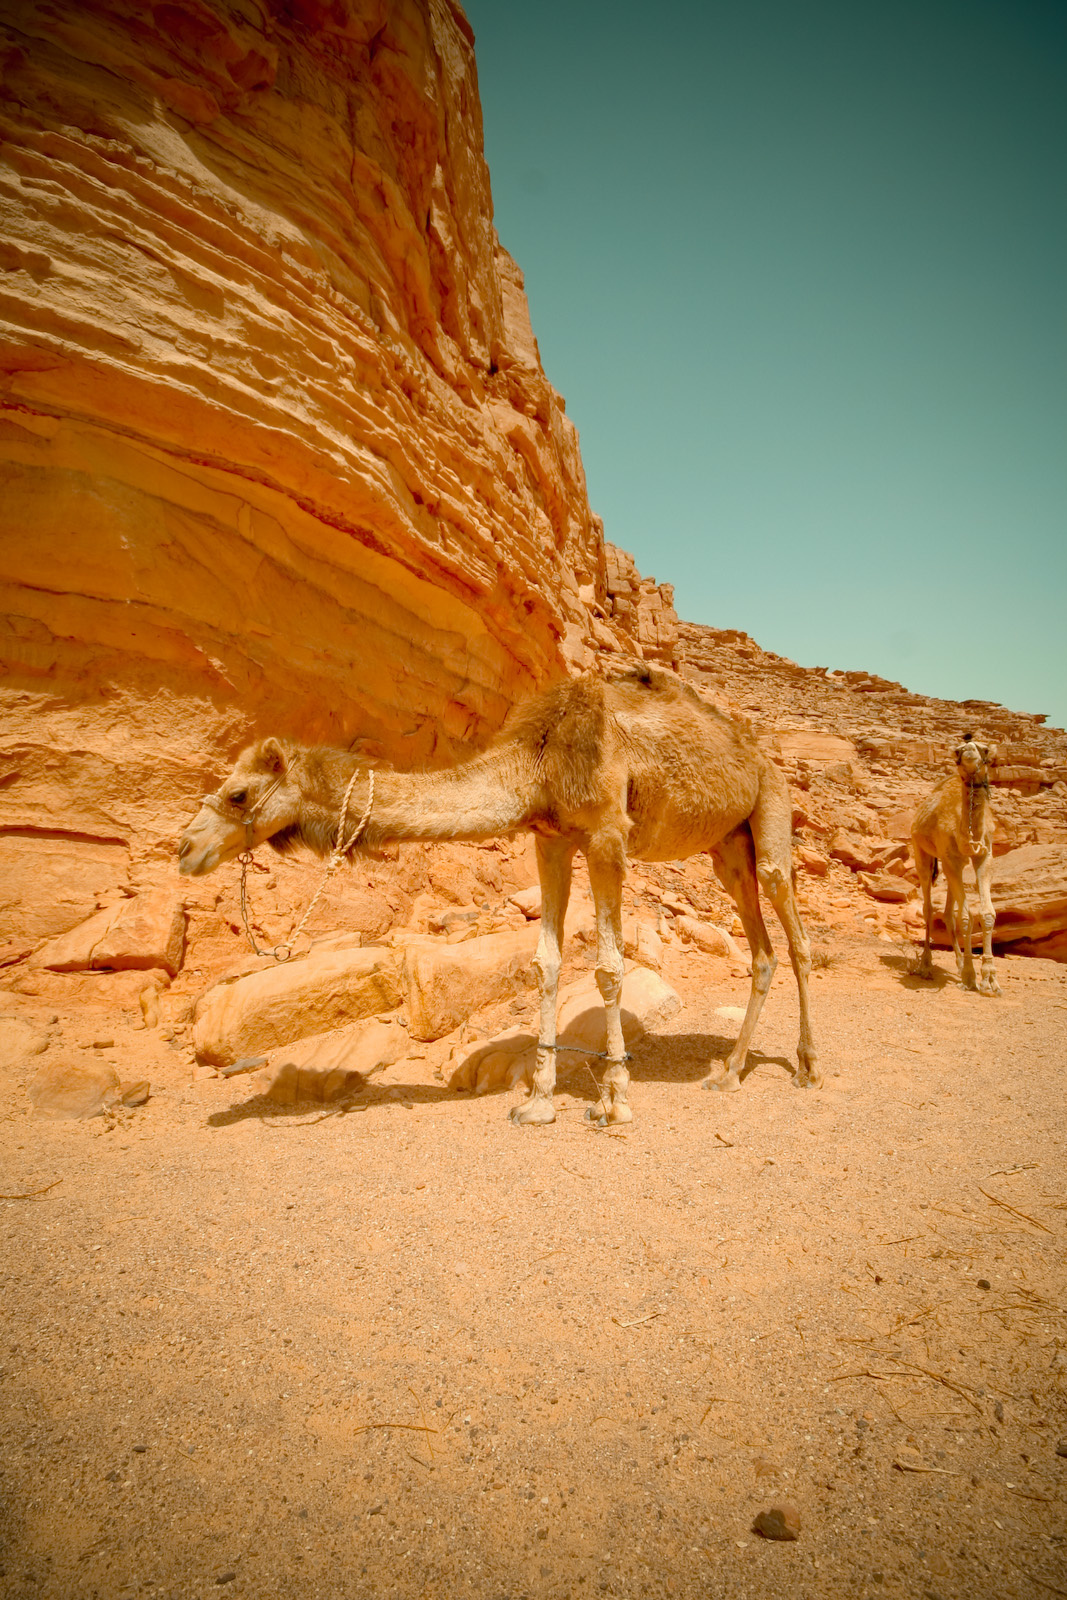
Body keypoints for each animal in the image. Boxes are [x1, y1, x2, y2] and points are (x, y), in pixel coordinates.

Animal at [179, 668, 825, 1132]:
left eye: (237, 794)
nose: (186, 848)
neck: (539, 759)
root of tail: (760, 753)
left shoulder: (607, 834)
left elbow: (609, 968)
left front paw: (613, 1102)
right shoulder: (552, 839)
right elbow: (546, 963)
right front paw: (537, 1101)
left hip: (771, 809)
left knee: (794, 934)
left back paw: (809, 1068)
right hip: (727, 848)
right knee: (763, 950)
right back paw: (731, 1072)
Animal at [908, 739, 1004, 998]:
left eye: (985, 750)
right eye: (957, 752)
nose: (969, 748)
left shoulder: (984, 856)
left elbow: (987, 913)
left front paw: (990, 980)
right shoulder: (950, 858)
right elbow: (966, 917)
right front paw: (971, 977)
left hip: (952, 865)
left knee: (948, 913)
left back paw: (960, 964)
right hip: (922, 853)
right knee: (929, 908)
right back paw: (926, 965)